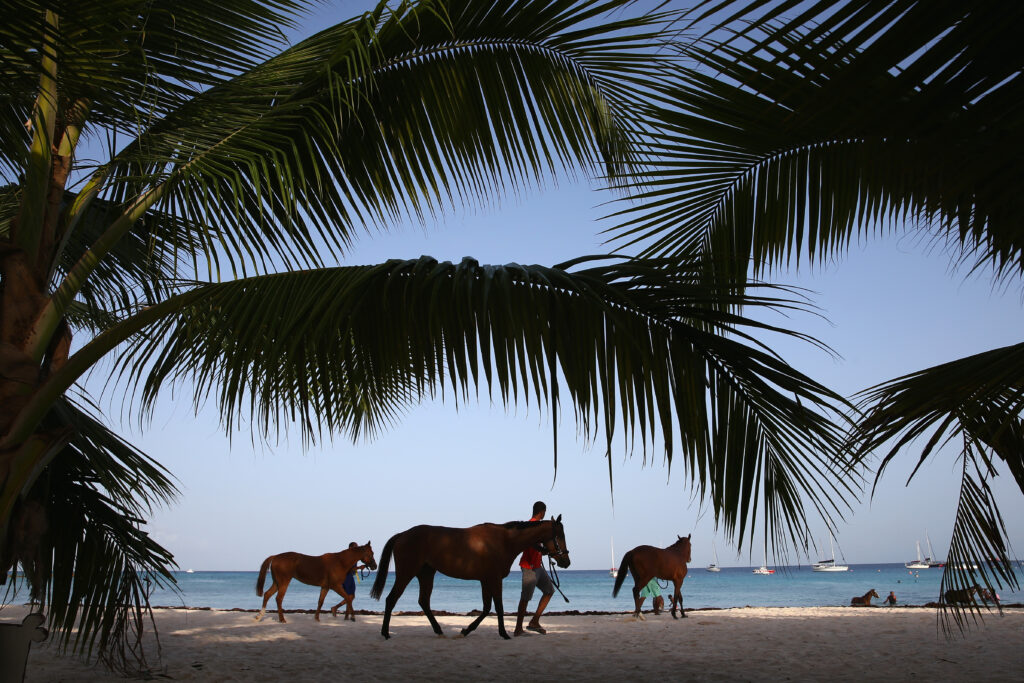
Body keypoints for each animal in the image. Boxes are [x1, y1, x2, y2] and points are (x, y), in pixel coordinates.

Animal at [372, 518, 573, 643]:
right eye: (559, 535)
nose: (566, 561)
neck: (504, 541)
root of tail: (403, 534)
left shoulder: (485, 580)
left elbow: (486, 608)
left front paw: (465, 630)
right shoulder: (494, 579)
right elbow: (498, 607)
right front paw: (503, 634)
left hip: (426, 574)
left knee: (424, 602)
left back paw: (439, 630)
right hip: (407, 573)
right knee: (391, 599)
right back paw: (385, 633)